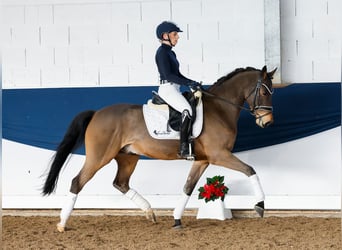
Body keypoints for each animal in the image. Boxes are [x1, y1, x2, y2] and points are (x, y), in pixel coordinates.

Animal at [42, 65, 276, 231]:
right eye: (265, 93)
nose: (268, 123)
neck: (219, 109)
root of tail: (97, 113)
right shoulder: (220, 155)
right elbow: (250, 170)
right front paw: (260, 206)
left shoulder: (203, 160)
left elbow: (188, 187)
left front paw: (177, 219)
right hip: (99, 157)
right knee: (77, 182)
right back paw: (62, 224)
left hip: (128, 157)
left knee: (121, 183)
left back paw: (150, 213)